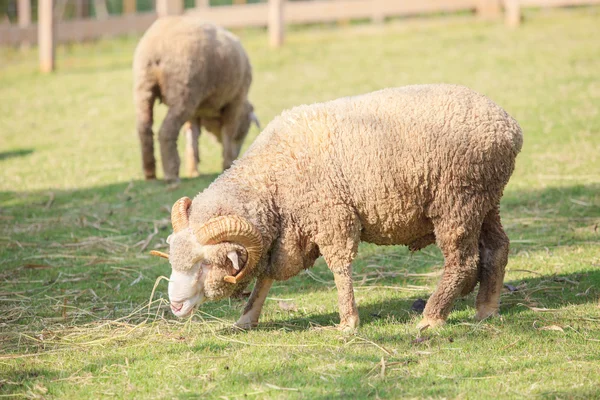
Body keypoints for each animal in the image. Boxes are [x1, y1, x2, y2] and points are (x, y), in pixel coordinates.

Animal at [133, 16, 258, 183]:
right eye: (244, 131)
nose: (239, 156)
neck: (209, 114)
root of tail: (157, 48)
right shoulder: (235, 101)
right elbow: (228, 132)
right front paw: (227, 163)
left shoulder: (195, 112)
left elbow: (193, 138)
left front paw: (193, 170)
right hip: (183, 90)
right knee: (166, 131)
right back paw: (171, 175)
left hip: (144, 88)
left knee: (144, 129)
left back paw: (150, 174)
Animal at [152, 85, 524, 332]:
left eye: (204, 264)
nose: (175, 305)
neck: (269, 178)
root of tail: (510, 127)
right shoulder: (283, 234)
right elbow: (267, 277)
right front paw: (245, 318)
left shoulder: (332, 218)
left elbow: (340, 269)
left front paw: (348, 322)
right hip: (484, 200)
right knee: (497, 249)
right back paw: (486, 309)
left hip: (456, 202)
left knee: (463, 261)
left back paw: (432, 317)